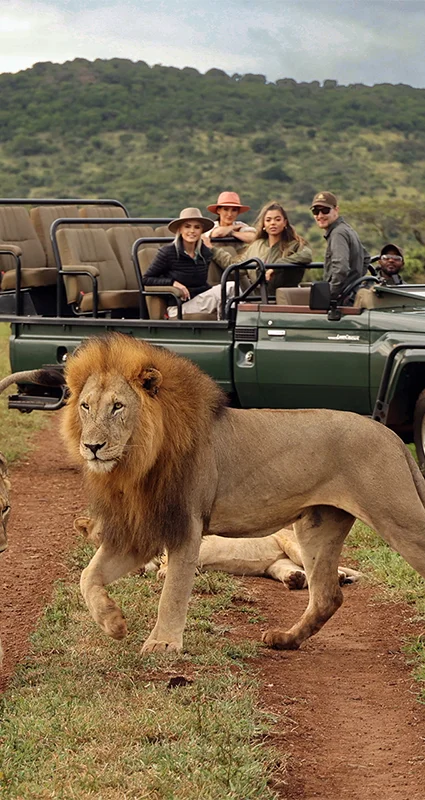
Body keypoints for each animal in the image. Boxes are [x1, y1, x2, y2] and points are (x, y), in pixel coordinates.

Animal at [61, 333, 425, 655]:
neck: (136, 461)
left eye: (117, 407)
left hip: (398, 518)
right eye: (85, 406)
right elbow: (87, 575)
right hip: (317, 526)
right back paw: (285, 640)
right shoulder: (142, 529)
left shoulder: (186, 526)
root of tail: (393, 437)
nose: (92, 447)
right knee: (326, 596)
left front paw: (163, 644)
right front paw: (113, 623)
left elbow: (173, 590)